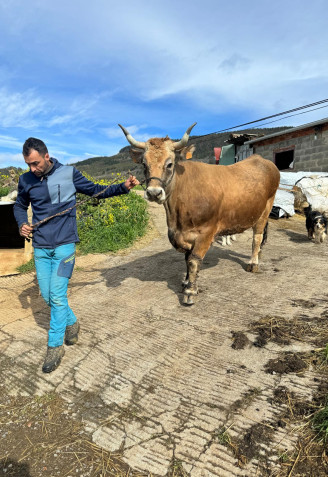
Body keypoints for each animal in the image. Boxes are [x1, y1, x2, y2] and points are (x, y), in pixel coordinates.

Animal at [118, 122, 280, 304]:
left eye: (170, 164)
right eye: (144, 164)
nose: (153, 193)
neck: (176, 216)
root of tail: (260, 159)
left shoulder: (206, 232)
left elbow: (194, 260)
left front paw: (190, 291)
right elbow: (186, 258)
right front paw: (186, 281)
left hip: (266, 208)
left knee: (257, 237)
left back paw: (253, 263)